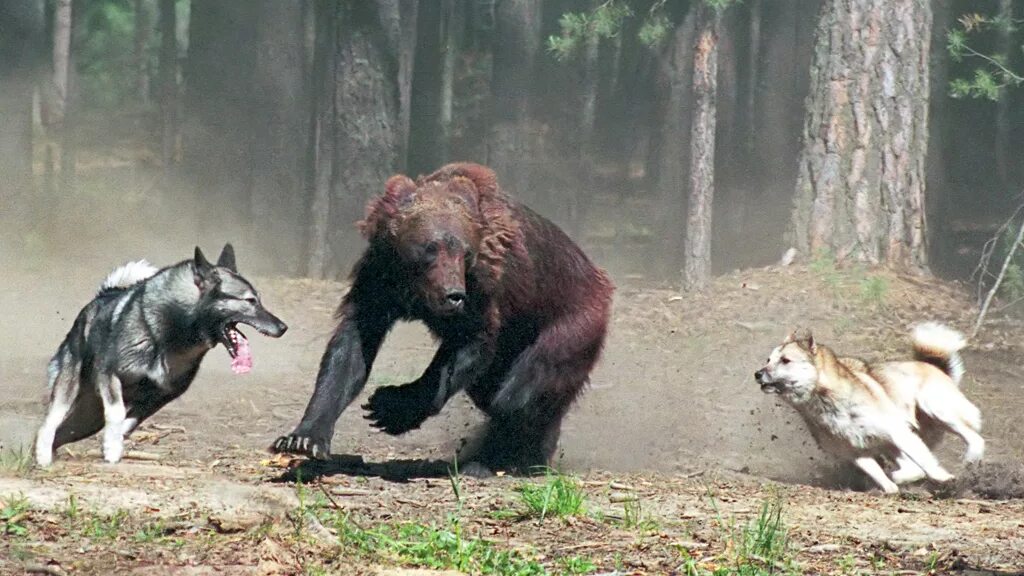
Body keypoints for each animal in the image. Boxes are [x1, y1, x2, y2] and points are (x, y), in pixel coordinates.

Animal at [35, 242, 286, 467]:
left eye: (259, 299)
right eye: (250, 301)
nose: (283, 327)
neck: (170, 334)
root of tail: (102, 296)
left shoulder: (160, 396)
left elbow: (128, 424)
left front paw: (113, 444)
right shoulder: (109, 374)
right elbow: (117, 413)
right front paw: (113, 448)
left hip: (89, 417)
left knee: (64, 432)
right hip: (68, 390)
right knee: (49, 424)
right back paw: (42, 455)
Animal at [753, 323, 983, 494]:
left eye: (785, 360)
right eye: (768, 360)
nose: (757, 374)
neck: (825, 401)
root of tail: (934, 365)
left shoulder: (897, 432)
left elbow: (922, 464)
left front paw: (941, 477)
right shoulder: (856, 451)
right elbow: (884, 474)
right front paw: (891, 486)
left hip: (938, 411)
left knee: (974, 436)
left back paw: (971, 458)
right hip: (899, 440)